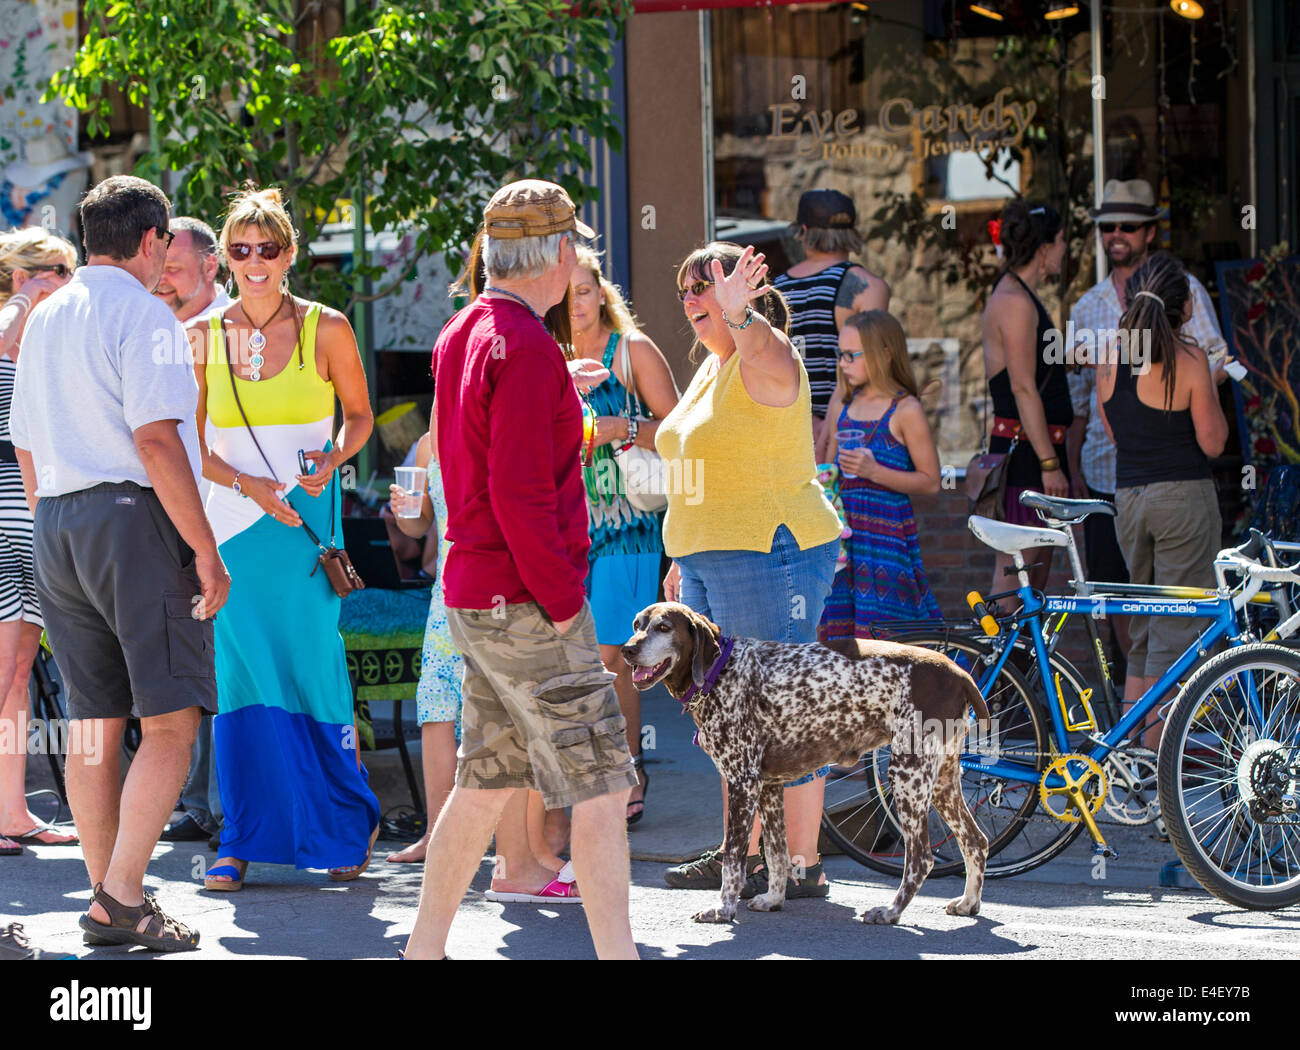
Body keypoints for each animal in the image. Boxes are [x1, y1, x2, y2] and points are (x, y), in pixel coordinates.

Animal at [624, 602, 987, 925]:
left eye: (663, 627)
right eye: (636, 625)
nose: (627, 650)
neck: (720, 672)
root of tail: (959, 673)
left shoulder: (743, 783)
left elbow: (733, 859)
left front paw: (723, 909)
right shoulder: (769, 788)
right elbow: (777, 853)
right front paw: (773, 899)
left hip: (907, 776)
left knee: (921, 859)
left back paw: (890, 912)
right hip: (940, 782)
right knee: (975, 841)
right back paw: (968, 903)